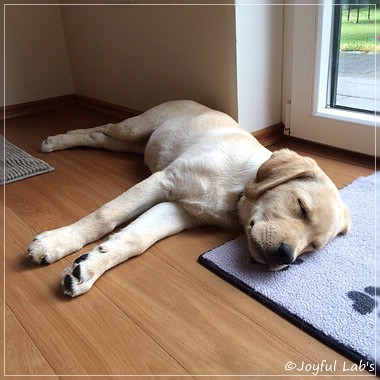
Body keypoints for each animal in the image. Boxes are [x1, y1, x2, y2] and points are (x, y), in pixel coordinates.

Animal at [26, 101, 350, 296]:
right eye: (301, 207)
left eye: (311, 249)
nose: (286, 257)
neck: (238, 189)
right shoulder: (163, 181)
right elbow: (106, 214)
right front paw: (57, 242)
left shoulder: (180, 211)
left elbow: (135, 240)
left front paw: (90, 268)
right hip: (134, 128)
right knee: (101, 128)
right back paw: (56, 140)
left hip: (134, 145)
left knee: (103, 140)